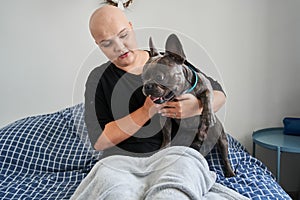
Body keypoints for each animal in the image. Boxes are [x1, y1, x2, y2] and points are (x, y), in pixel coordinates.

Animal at [142, 33, 236, 177]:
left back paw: (229, 172)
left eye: (160, 77)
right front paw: (164, 148)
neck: (181, 92)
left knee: (225, 157)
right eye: (143, 77)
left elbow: (208, 96)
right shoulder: (165, 117)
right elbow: (166, 134)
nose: (147, 86)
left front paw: (208, 116)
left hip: (221, 138)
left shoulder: (206, 85)